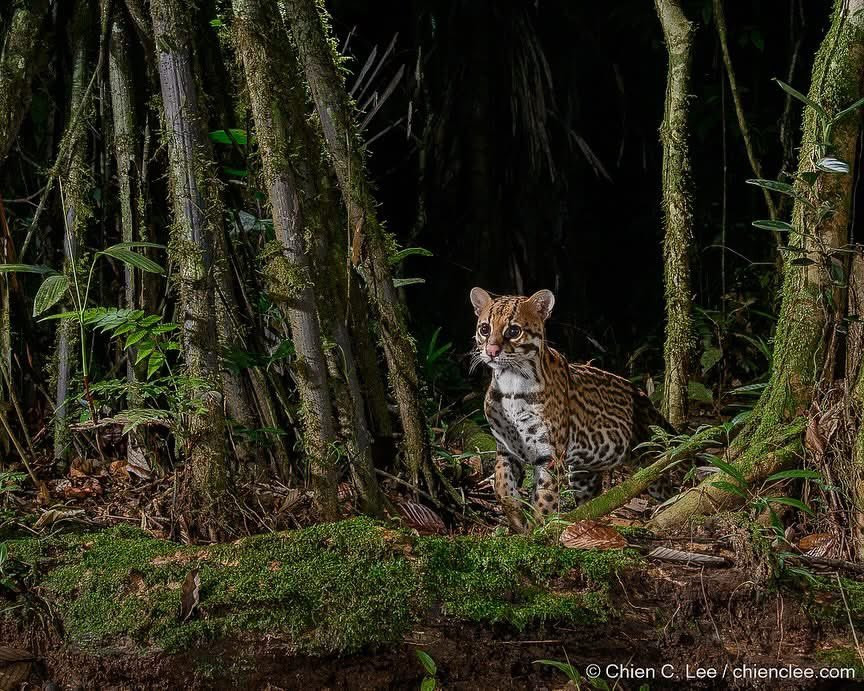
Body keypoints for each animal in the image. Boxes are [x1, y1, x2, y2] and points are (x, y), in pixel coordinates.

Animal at [469, 287, 674, 533]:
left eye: (513, 330)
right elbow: (501, 485)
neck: (511, 384)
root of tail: (647, 400)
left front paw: (539, 531)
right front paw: (517, 517)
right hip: (583, 474)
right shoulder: (505, 447)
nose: (491, 350)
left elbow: (545, 496)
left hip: (655, 466)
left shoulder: (549, 453)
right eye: (484, 329)